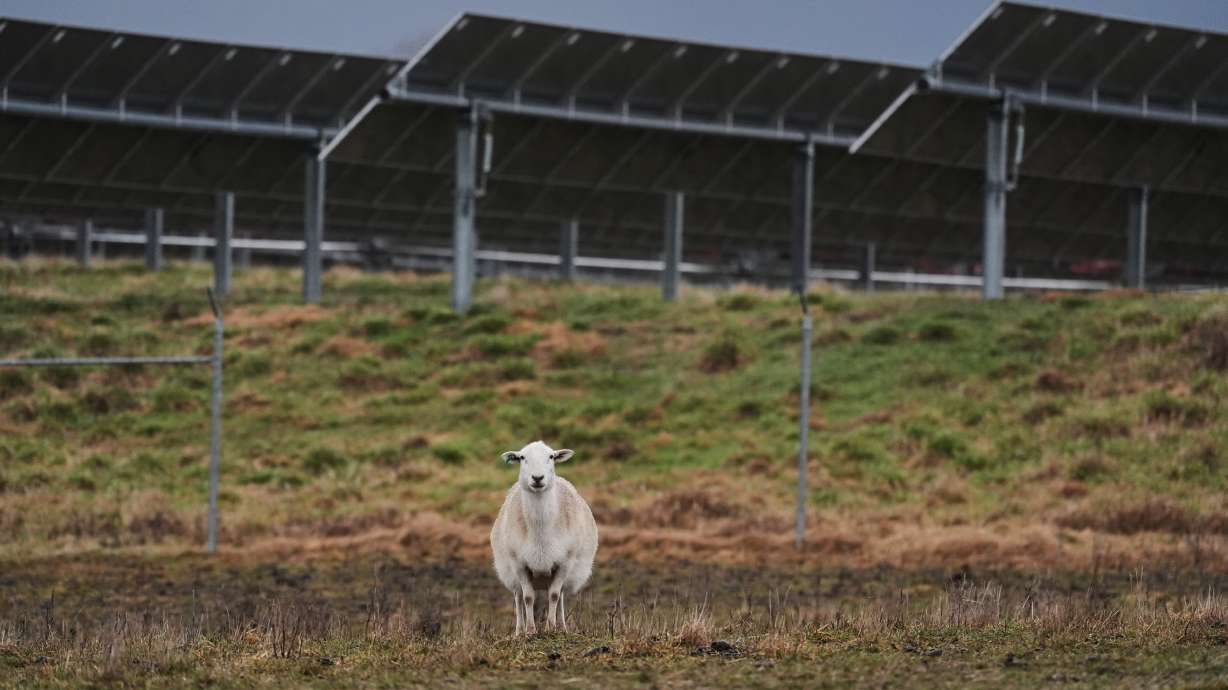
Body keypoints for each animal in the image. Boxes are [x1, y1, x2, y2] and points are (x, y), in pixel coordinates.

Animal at [490, 440, 598, 635]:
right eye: (522, 457)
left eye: (551, 456)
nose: (538, 478)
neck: (540, 533)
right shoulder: (518, 563)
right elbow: (528, 597)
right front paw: (531, 631)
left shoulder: (565, 562)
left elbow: (554, 595)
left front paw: (550, 628)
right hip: (509, 573)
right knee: (518, 598)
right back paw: (519, 631)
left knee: (560, 595)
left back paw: (562, 627)